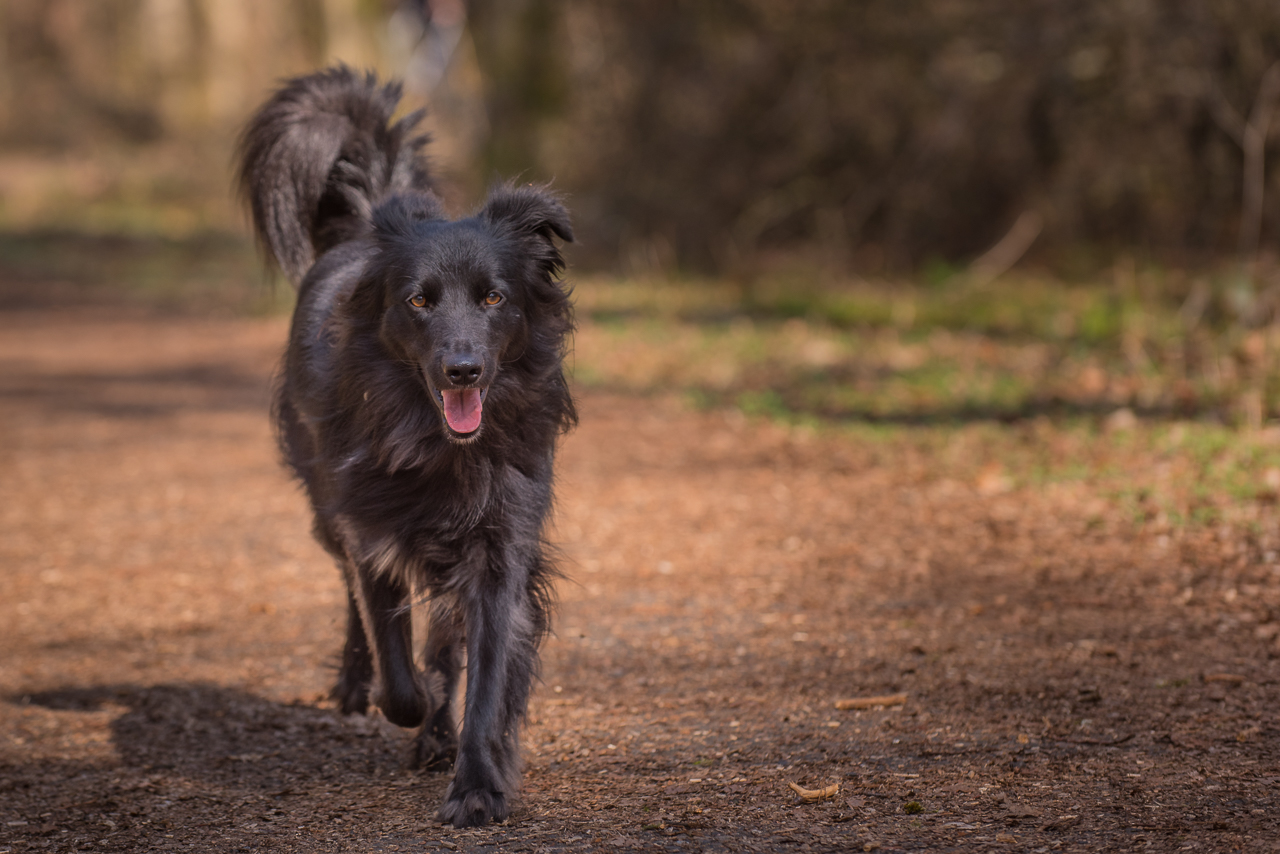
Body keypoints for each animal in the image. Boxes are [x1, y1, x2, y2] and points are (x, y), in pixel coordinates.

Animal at [239, 66, 576, 829]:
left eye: (493, 298)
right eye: (419, 301)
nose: (463, 371)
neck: (439, 446)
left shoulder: (499, 549)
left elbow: (481, 674)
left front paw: (475, 781)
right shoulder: (369, 531)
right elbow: (397, 670)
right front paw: (410, 703)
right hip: (324, 506)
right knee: (354, 603)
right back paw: (356, 685)